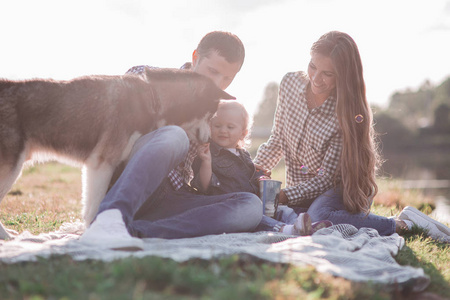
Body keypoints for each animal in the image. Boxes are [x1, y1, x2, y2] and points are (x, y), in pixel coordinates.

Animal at [0, 68, 232, 239]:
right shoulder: (101, 163)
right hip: (11, 168)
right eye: (212, 115)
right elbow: (93, 206)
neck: (152, 97)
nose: (210, 140)